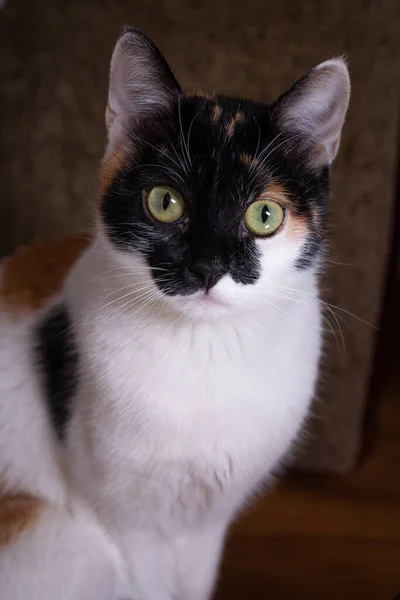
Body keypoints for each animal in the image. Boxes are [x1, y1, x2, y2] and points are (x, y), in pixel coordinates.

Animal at [0, 25, 350, 600]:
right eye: (165, 202)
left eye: (265, 215)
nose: (208, 267)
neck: (202, 352)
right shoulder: (125, 526)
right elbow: (151, 585)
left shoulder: (210, 522)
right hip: (68, 540)